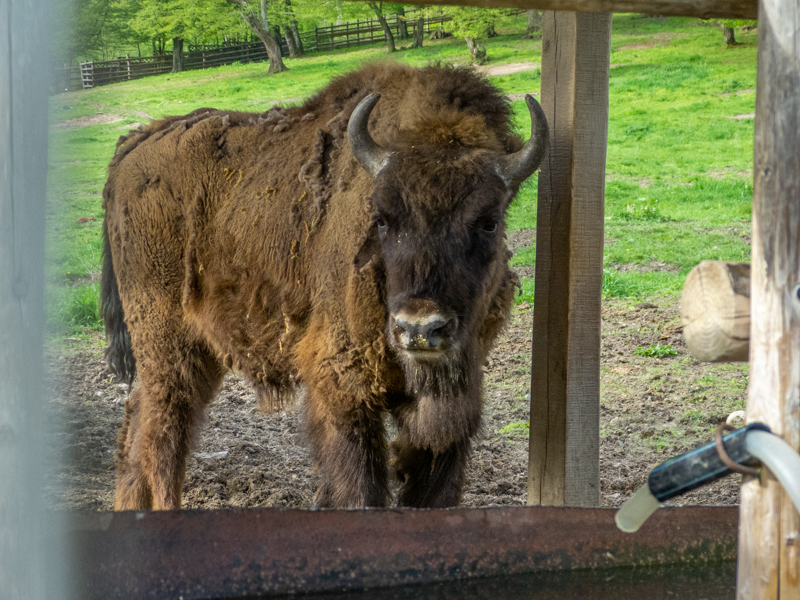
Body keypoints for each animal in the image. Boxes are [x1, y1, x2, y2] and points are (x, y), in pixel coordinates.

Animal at [101, 63, 548, 510]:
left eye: (489, 221)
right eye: (382, 218)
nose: (420, 328)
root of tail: (134, 144)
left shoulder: (454, 402)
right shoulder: (344, 387)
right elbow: (360, 489)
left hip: (196, 350)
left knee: (138, 422)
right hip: (167, 345)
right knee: (164, 432)